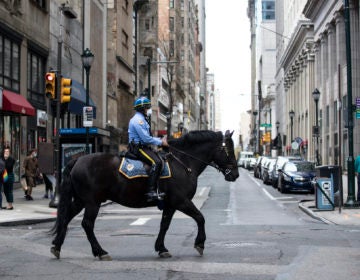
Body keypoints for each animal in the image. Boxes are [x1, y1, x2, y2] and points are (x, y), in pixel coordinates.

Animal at [48, 131, 239, 260]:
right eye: (229, 150)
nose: (235, 174)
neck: (183, 162)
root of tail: (78, 160)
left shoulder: (170, 204)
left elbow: (164, 225)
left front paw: (161, 248)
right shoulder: (181, 201)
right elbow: (200, 218)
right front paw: (199, 243)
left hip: (81, 200)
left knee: (66, 217)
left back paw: (57, 246)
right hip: (92, 202)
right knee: (87, 224)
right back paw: (100, 252)